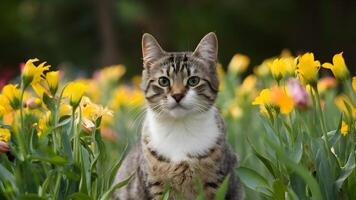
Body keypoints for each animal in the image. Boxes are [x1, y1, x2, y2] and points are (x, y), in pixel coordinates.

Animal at [114, 32, 245, 199]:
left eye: (193, 80)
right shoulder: (155, 185)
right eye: (163, 81)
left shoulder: (216, 182)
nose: (177, 95)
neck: (180, 128)